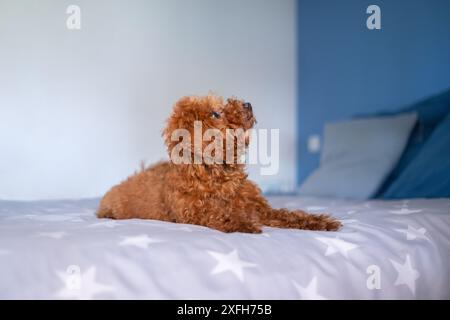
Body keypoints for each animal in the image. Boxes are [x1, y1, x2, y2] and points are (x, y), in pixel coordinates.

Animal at [96, 95, 342, 232]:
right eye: (216, 114)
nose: (247, 103)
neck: (217, 173)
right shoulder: (193, 214)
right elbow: (217, 214)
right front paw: (243, 224)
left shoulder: (259, 208)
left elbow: (289, 215)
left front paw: (319, 221)